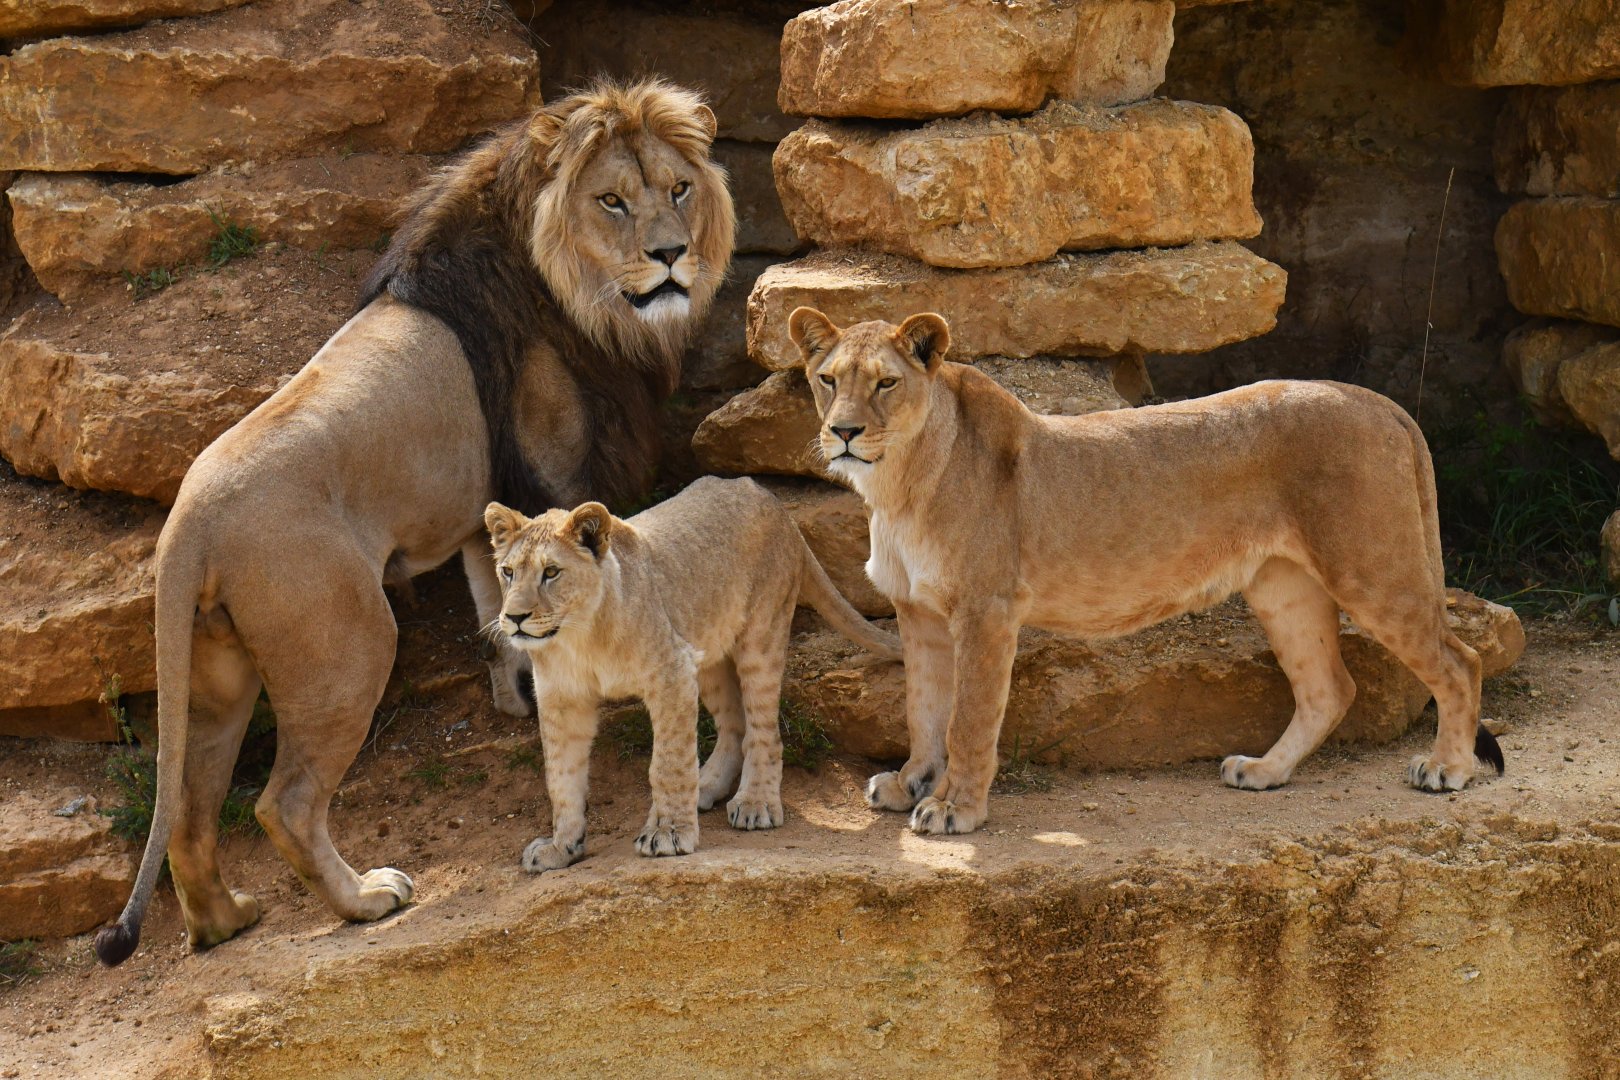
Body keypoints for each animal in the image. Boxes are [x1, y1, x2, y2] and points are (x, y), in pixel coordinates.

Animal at [95, 79, 735, 965]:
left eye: (678, 189)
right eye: (612, 201)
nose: (673, 254)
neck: (570, 290)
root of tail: (188, 519)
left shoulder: (481, 514)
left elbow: (498, 615)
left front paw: (520, 694)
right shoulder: (559, 470)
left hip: (218, 671)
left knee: (192, 811)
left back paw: (226, 921)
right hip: (348, 645)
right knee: (283, 804)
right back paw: (366, 900)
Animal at [484, 477, 899, 871]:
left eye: (551, 572)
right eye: (507, 572)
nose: (515, 617)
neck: (578, 637)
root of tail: (773, 502)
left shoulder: (672, 672)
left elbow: (668, 762)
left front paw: (668, 833)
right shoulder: (561, 698)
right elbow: (560, 777)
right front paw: (561, 848)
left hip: (761, 635)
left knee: (763, 729)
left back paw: (755, 802)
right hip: (708, 651)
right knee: (735, 725)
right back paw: (706, 785)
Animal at [787, 307, 1504, 837]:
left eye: (886, 383)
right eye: (828, 379)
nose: (843, 432)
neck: (899, 487)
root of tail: (1379, 401)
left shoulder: (985, 611)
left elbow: (967, 718)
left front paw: (952, 808)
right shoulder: (918, 611)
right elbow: (923, 707)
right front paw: (909, 781)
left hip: (1372, 567)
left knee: (1459, 661)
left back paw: (1447, 769)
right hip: (1282, 586)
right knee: (1329, 686)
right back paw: (1264, 771)